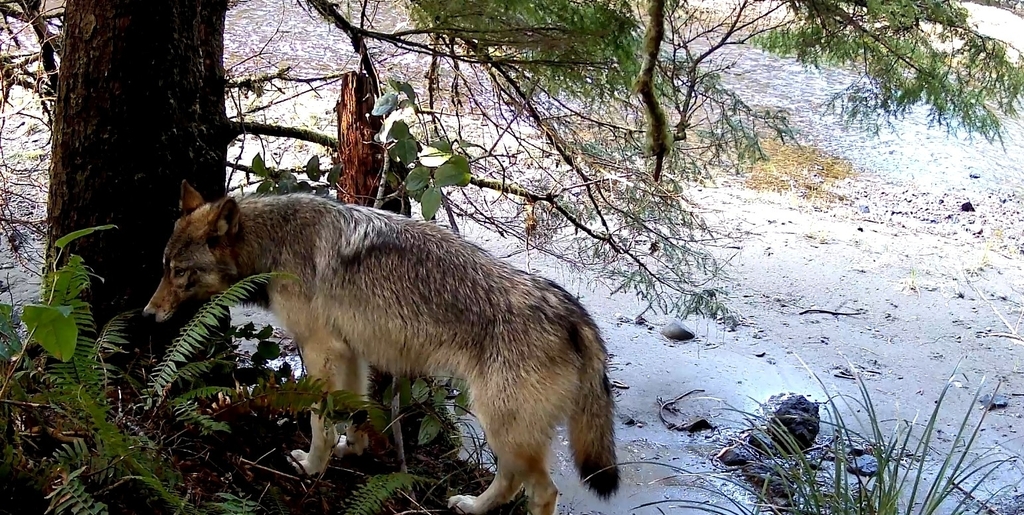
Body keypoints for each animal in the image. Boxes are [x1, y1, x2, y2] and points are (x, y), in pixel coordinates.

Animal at [144, 179, 618, 513]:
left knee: (543, 492)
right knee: (510, 481)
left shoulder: (319, 349)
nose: (147, 314)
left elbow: (318, 420)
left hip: (503, 425)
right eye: (164, 267)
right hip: (502, 427)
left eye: (179, 272)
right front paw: (351, 450)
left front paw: (312, 467)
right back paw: (470, 506)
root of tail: (573, 313)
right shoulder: (351, 351)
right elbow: (353, 409)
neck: (275, 244)